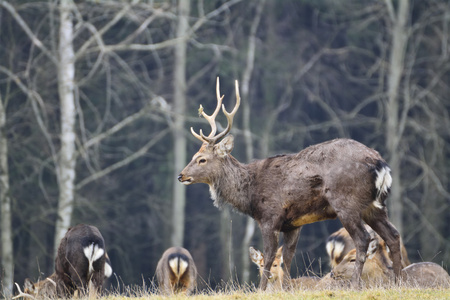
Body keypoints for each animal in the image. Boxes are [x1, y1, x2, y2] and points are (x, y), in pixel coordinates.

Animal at [178, 78, 402, 290]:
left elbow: (269, 256)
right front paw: (286, 289)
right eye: (194, 155)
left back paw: (356, 284)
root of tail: (380, 163)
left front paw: (261, 290)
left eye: (202, 159)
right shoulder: (293, 224)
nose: (181, 175)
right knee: (393, 235)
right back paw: (400, 281)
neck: (250, 195)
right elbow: (287, 259)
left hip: (347, 202)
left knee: (363, 239)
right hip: (374, 205)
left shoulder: (270, 216)